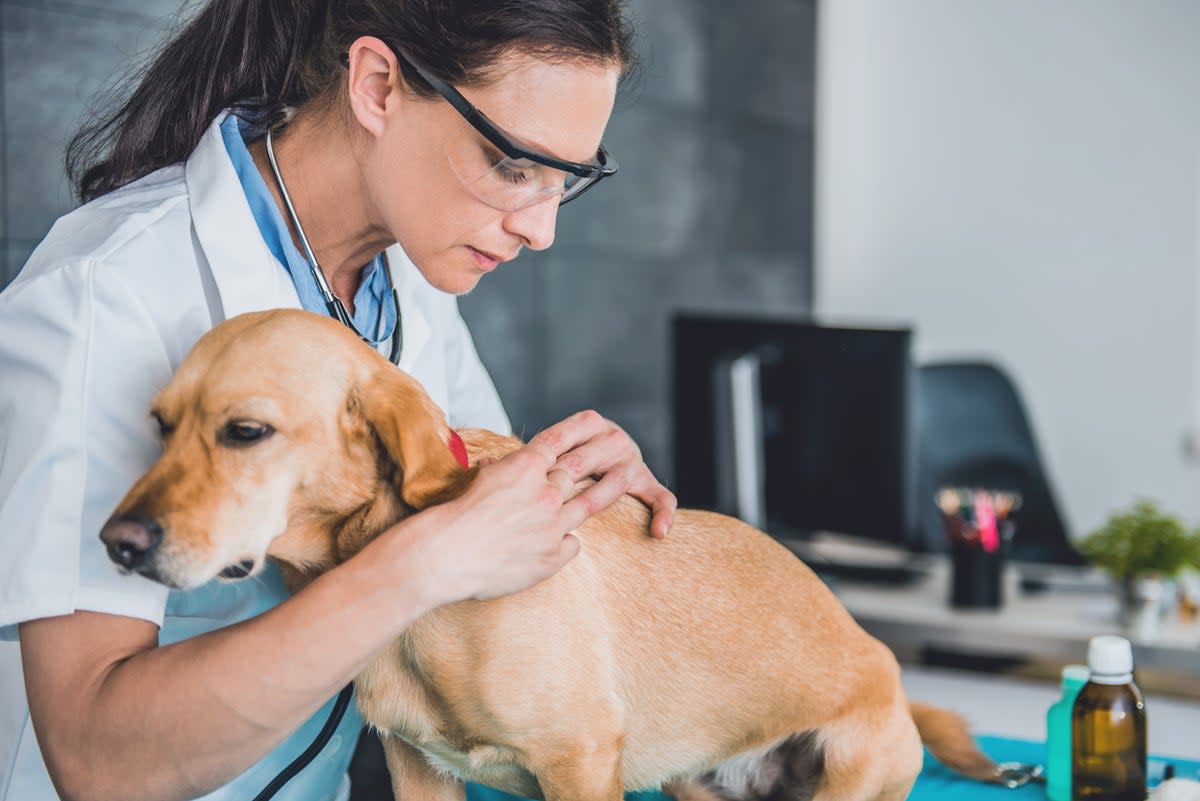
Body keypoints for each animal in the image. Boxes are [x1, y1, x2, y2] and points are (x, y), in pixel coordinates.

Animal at [100, 309, 993, 801]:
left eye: (246, 430)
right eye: (159, 425)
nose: (116, 542)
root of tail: (894, 679)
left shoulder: (581, 763)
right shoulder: (418, 769)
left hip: (850, 767)